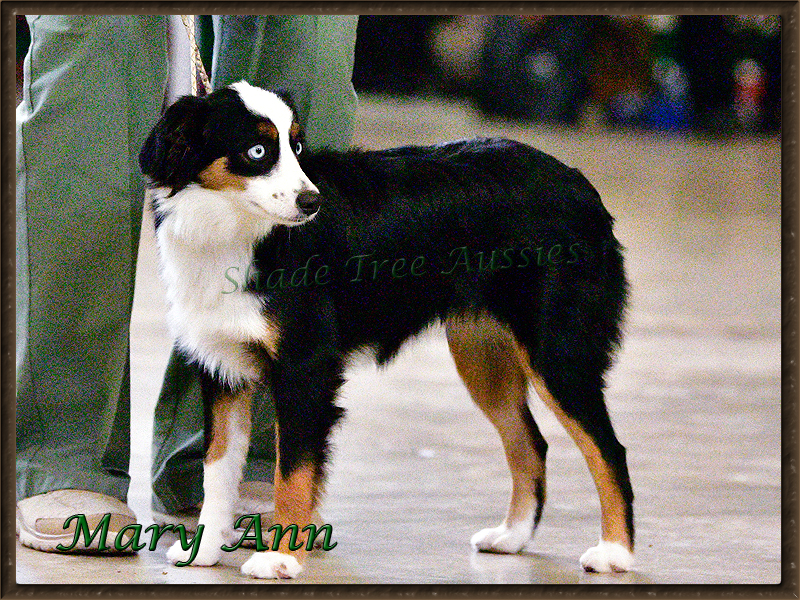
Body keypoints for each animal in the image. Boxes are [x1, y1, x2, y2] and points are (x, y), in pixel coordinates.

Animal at [141, 82, 636, 580]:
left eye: (296, 147)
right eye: (257, 151)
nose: (311, 202)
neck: (238, 233)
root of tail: (579, 184)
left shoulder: (305, 369)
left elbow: (292, 474)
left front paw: (280, 557)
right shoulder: (221, 369)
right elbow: (217, 469)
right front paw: (204, 549)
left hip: (557, 355)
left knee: (608, 449)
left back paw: (615, 552)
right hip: (483, 358)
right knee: (530, 444)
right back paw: (512, 536)